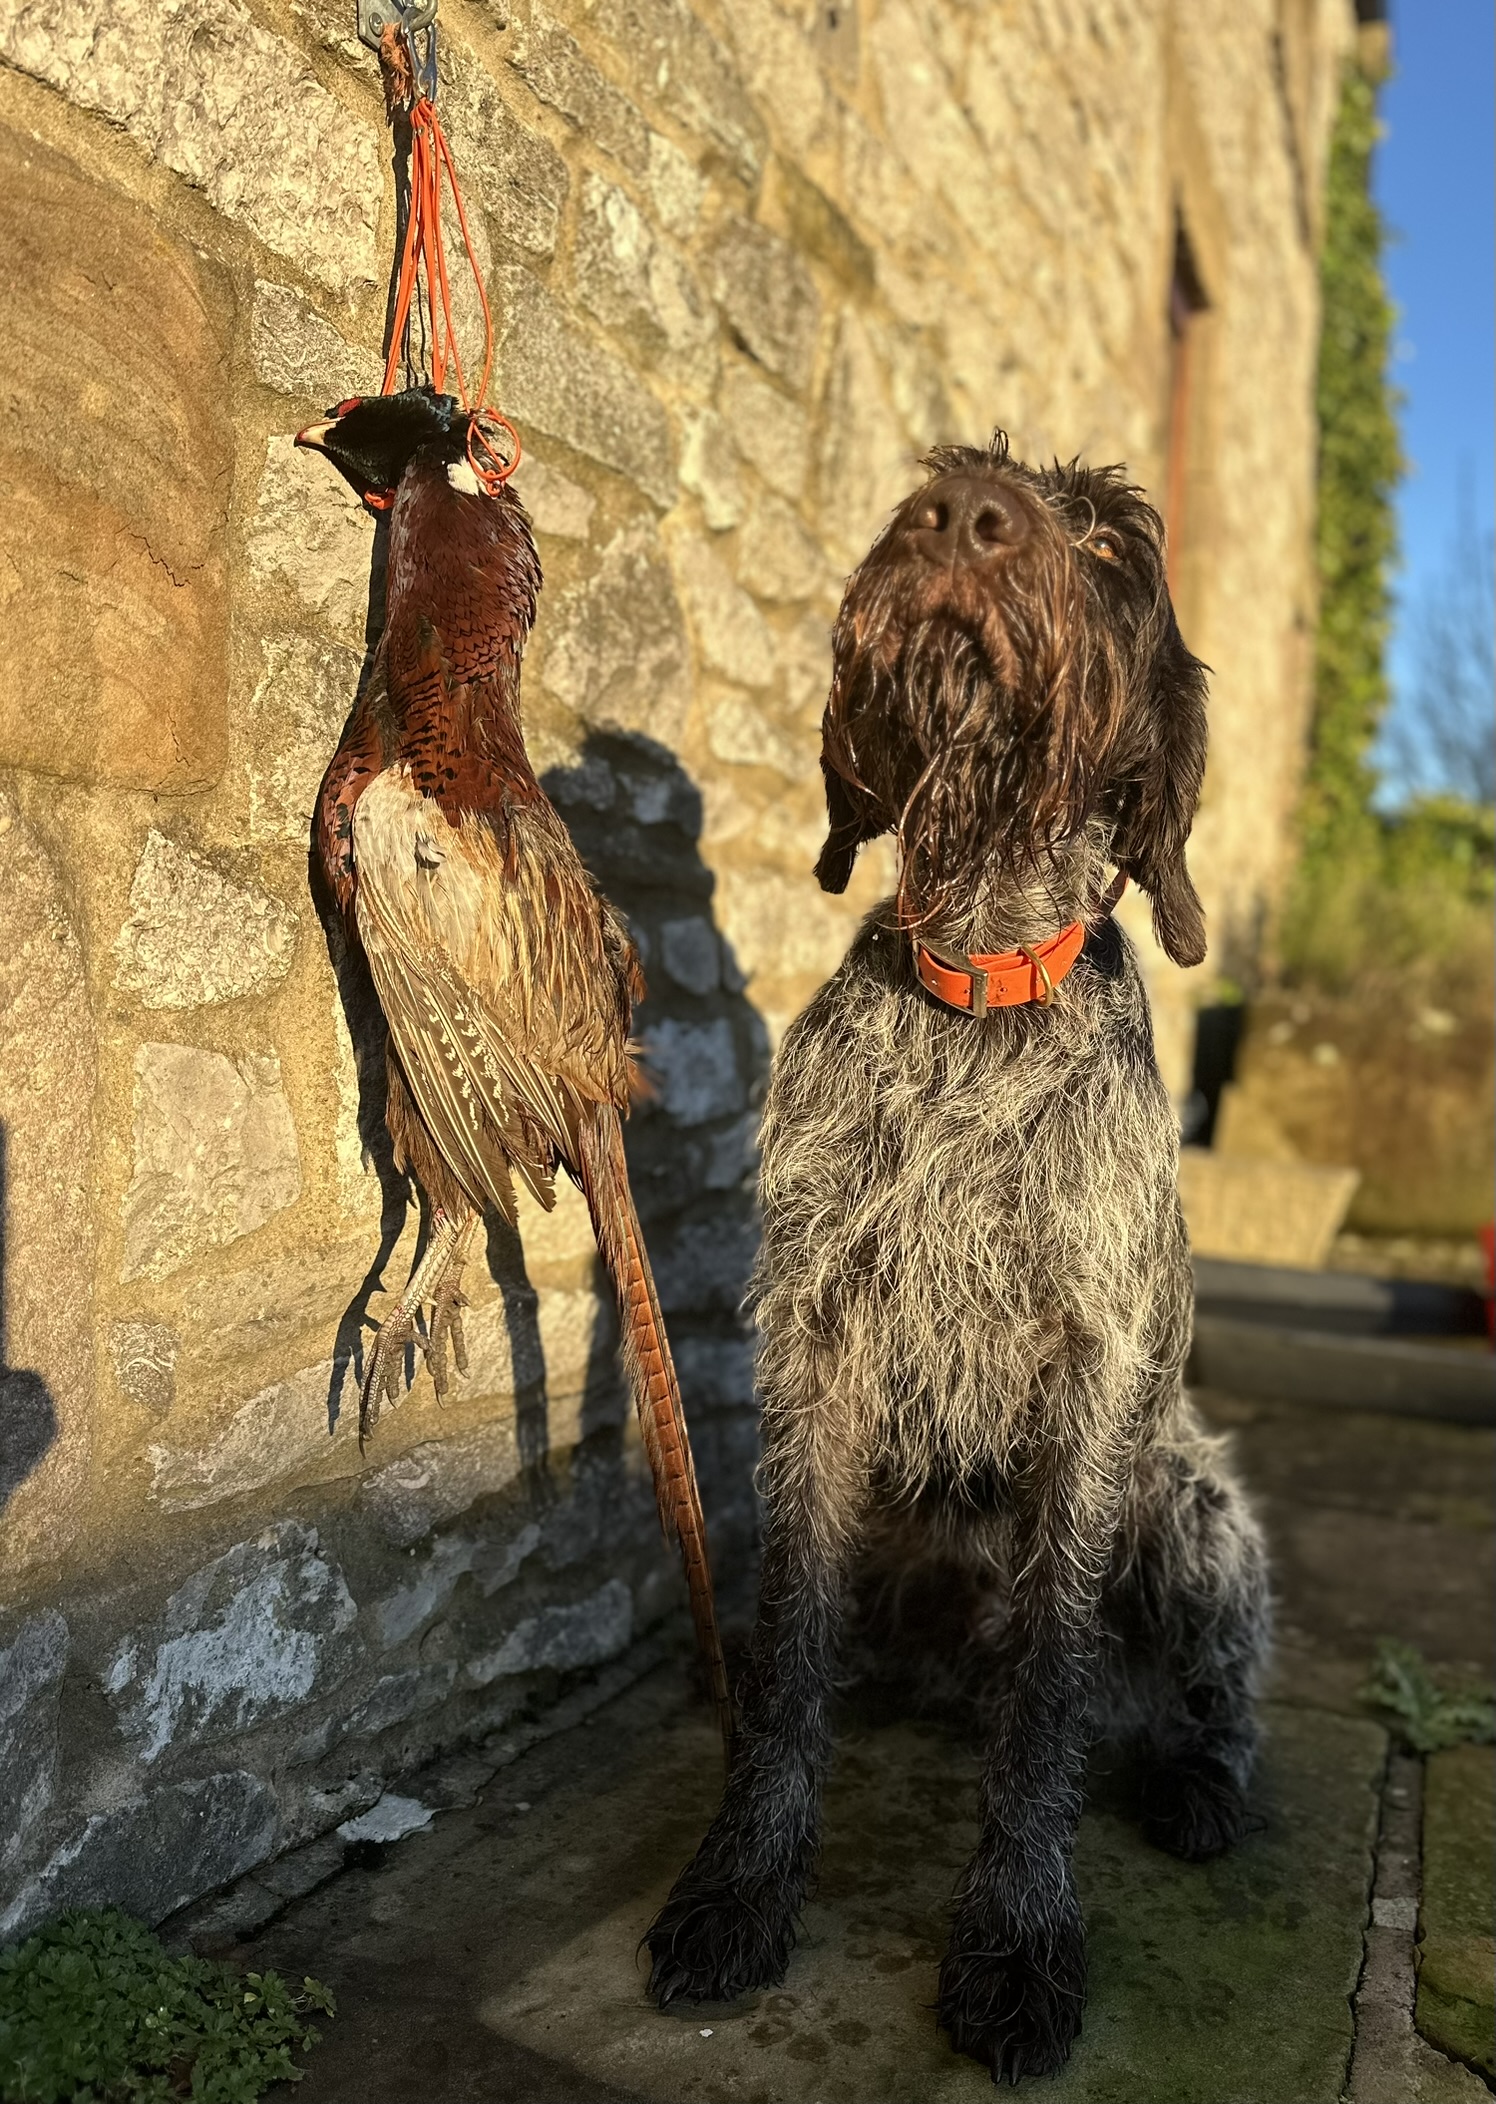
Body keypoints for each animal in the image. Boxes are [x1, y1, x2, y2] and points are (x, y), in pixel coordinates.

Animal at [646, 434, 1271, 2084]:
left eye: (1110, 544)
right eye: (930, 486)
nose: (960, 519)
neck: (974, 990)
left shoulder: (1096, 1375)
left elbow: (1048, 1690)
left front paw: (1017, 1940)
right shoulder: (815, 1343)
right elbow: (789, 1660)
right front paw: (744, 1883)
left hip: (1198, 1509)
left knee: (1207, 1698)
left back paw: (1200, 1785)